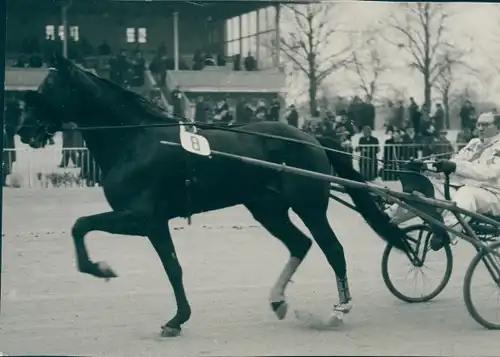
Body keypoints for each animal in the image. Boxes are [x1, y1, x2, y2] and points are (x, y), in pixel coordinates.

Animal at [14, 55, 410, 336]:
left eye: (48, 85)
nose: (23, 128)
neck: (136, 139)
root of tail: (312, 137)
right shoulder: (151, 221)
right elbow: (170, 266)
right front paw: (176, 316)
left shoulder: (142, 217)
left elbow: (83, 226)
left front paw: (102, 269)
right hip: (267, 208)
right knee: (300, 244)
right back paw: (278, 300)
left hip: (309, 206)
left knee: (333, 249)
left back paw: (338, 310)